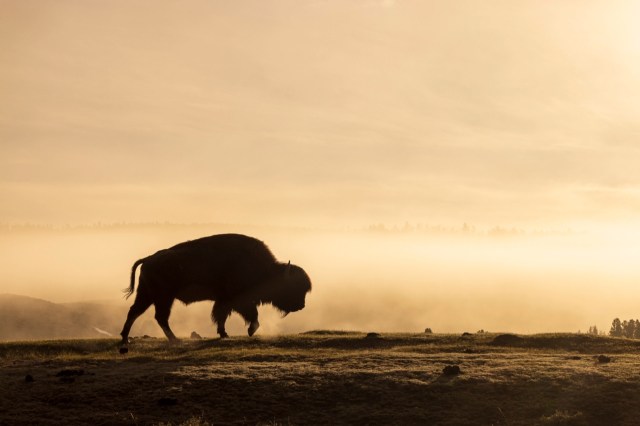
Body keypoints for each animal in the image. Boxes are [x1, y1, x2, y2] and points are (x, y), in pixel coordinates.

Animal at [119, 234, 312, 346]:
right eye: (292, 287)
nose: (301, 306)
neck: (266, 270)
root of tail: (148, 259)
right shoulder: (238, 300)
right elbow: (250, 315)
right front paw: (249, 331)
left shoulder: (224, 300)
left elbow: (221, 315)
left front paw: (224, 333)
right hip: (163, 297)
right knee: (158, 317)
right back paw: (174, 339)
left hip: (148, 296)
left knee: (136, 312)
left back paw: (126, 338)